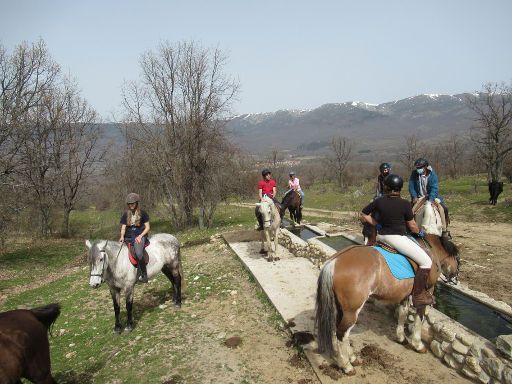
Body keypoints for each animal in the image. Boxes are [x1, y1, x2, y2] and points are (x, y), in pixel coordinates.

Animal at [314, 234, 458, 376]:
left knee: (338, 330)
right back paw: (346, 366)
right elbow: (419, 318)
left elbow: (403, 313)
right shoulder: (426, 293)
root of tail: (334, 261)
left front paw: (401, 338)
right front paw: (418, 345)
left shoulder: (405, 296)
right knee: (342, 333)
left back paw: (349, 359)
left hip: (341, 308)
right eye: (458, 258)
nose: (455, 278)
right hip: (352, 311)